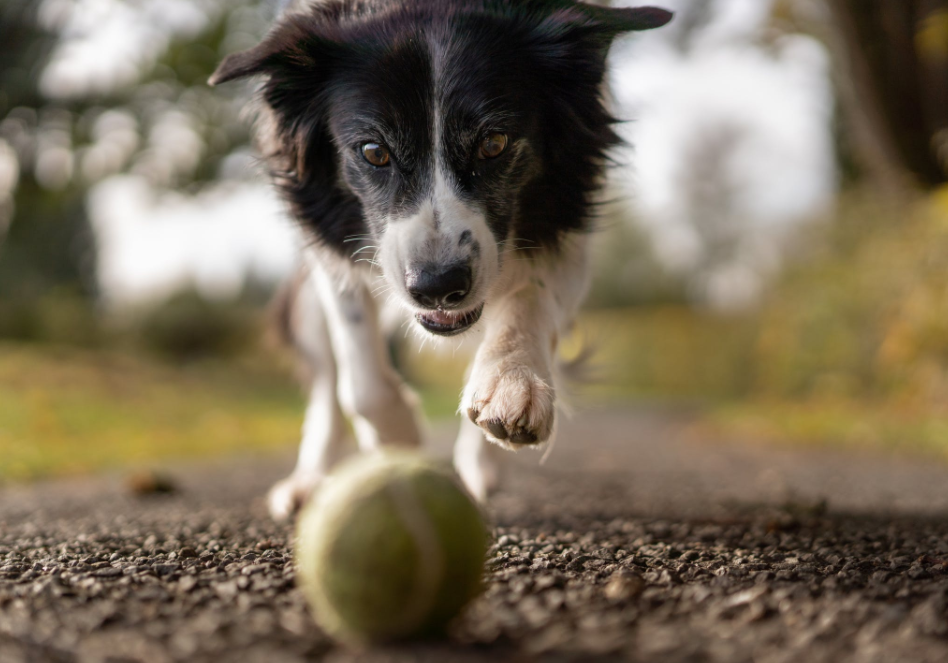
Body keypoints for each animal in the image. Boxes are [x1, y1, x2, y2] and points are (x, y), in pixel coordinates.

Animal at [209, 0, 668, 520]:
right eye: (374, 151)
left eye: (494, 143)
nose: (437, 287)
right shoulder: (328, 243)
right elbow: (359, 378)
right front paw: (400, 441)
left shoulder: (569, 220)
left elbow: (530, 298)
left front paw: (511, 384)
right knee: (327, 382)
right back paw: (309, 482)